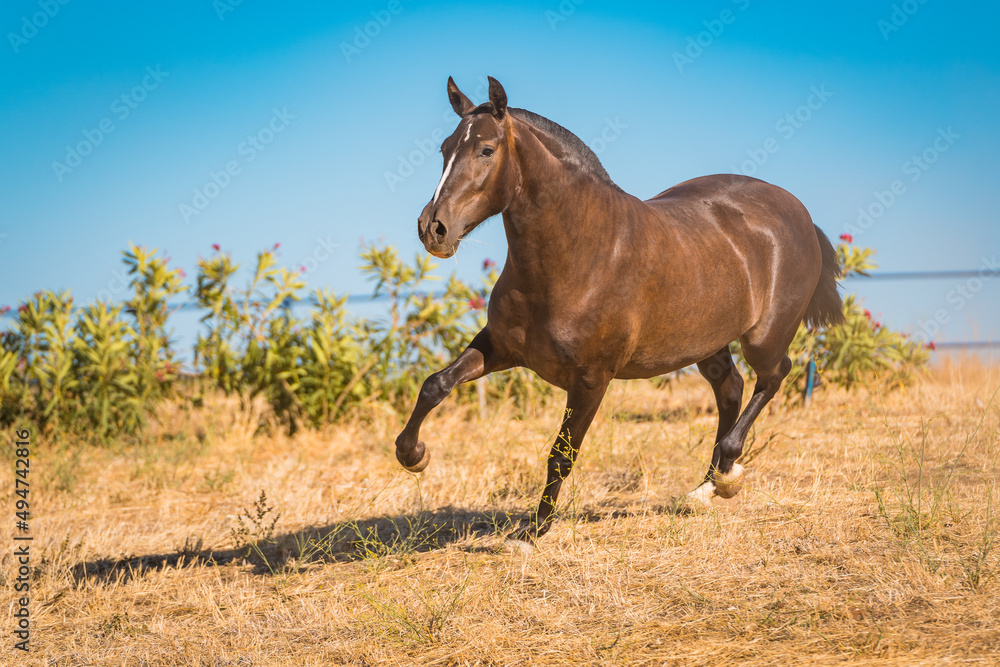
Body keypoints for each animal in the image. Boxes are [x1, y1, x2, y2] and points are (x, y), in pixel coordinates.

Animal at [394, 76, 843, 544]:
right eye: (445, 148)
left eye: (486, 149)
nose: (433, 228)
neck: (580, 255)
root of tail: (799, 213)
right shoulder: (499, 348)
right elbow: (435, 385)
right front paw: (414, 455)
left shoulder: (592, 379)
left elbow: (561, 453)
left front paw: (533, 531)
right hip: (706, 342)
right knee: (731, 389)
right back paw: (705, 487)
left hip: (764, 336)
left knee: (773, 376)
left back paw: (727, 476)